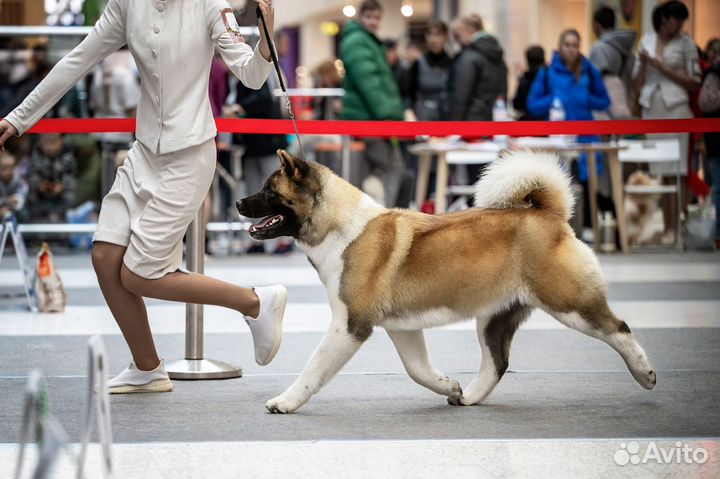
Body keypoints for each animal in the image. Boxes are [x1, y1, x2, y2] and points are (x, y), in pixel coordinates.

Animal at [238, 149, 660, 412]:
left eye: (270, 190)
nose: (240, 203)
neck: (339, 226)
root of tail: (549, 214)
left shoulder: (349, 324)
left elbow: (313, 368)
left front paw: (285, 401)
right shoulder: (400, 327)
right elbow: (416, 368)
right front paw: (448, 385)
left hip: (567, 301)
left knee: (618, 329)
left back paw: (645, 373)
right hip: (495, 317)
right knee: (497, 363)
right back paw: (468, 396)